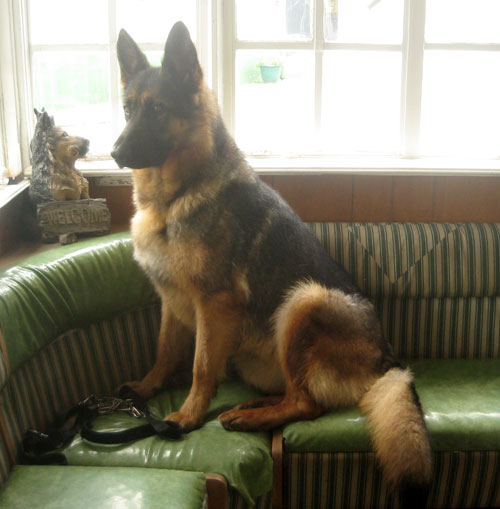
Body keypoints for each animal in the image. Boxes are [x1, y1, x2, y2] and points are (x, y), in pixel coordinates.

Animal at [111, 21, 432, 506]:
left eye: (158, 110)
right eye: (129, 109)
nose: (113, 152)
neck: (175, 195)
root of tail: (386, 360)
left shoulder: (213, 306)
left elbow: (200, 366)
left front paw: (186, 416)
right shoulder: (171, 301)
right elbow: (165, 351)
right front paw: (149, 388)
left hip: (304, 301)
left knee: (307, 404)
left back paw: (249, 417)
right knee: (295, 396)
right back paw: (250, 408)